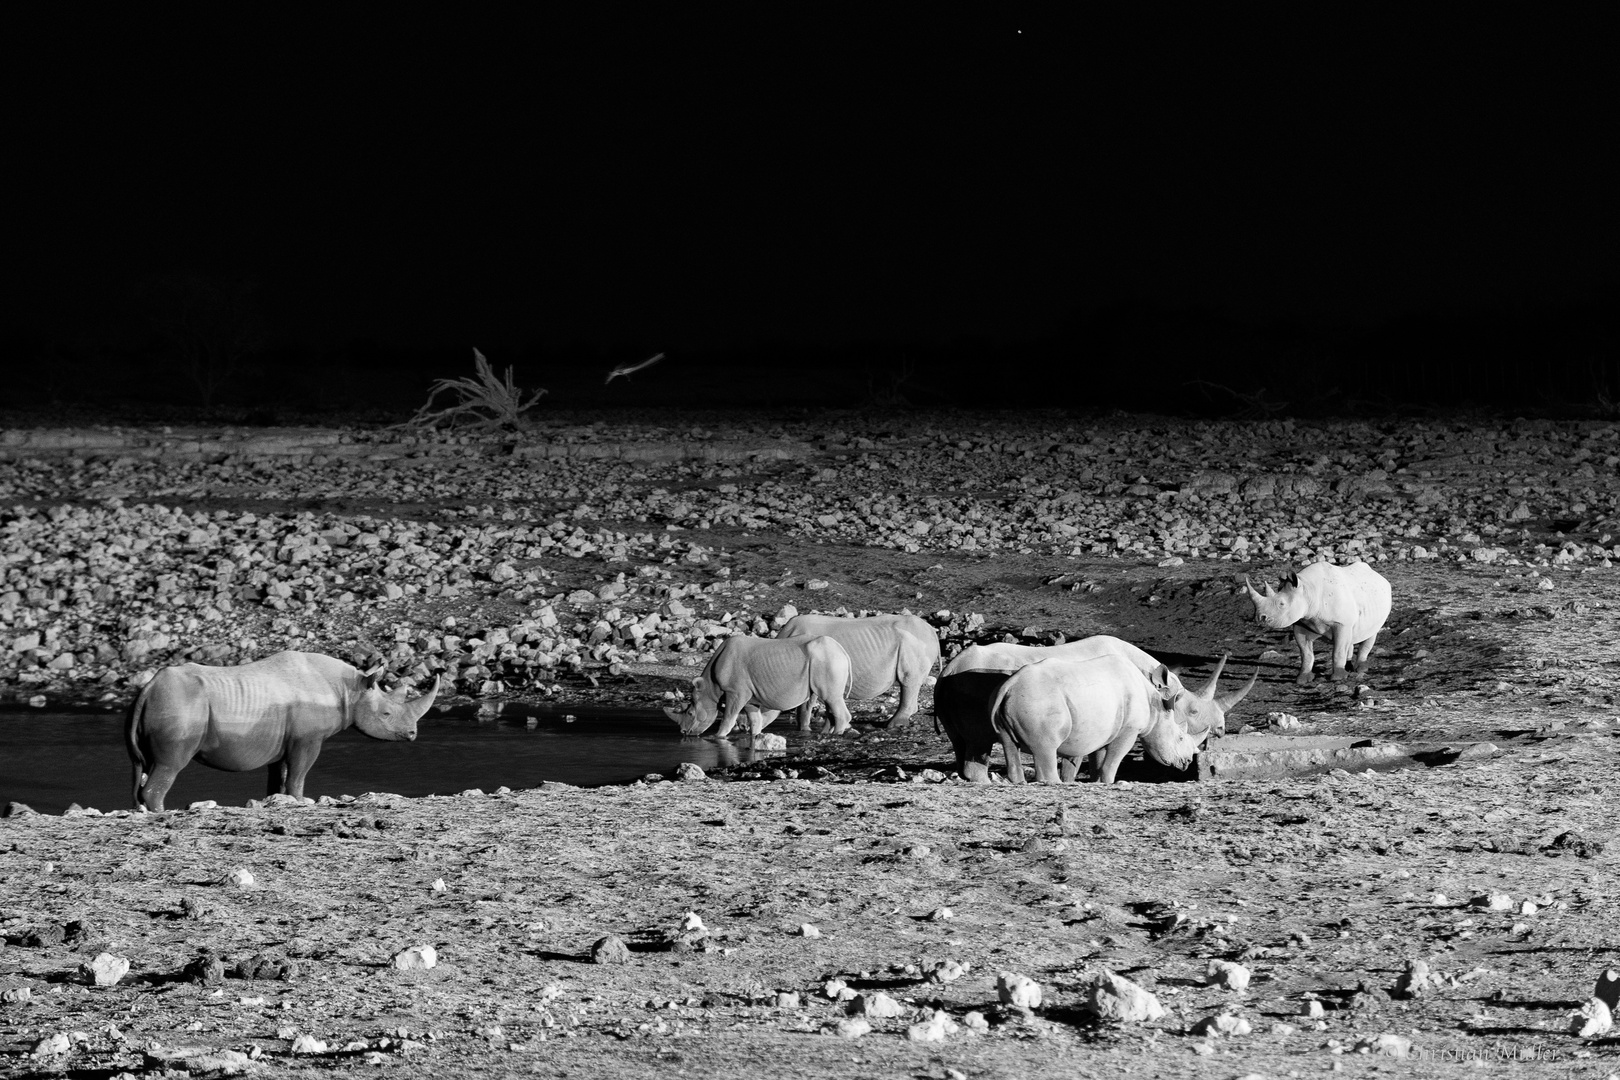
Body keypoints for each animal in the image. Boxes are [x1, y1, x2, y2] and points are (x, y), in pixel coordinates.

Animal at [123, 650, 437, 809]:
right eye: (386, 714)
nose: (412, 735)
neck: (350, 689)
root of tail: (149, 688)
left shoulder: (284, 740)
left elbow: (280, 778)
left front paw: (278, 801)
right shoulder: (308, 739)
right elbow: (298, 775)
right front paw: (299, 801)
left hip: (154, 706)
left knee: (142, 766)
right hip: (182, 705)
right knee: (170, 765)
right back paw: (162, 813)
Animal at [771, 612, 939, 731]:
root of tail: (932, 631)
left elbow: (806, 705)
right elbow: (807, 707)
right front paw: (806, 731)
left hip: (914, 643)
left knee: (908, 680)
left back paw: (892, 725)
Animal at [984, 650, 1205, 786]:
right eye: (1180, 738)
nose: (1186, 762)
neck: (1156, 708)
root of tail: (1009, 686)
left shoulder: (1106, 729)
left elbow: (1099, 760)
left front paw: (1097, 781)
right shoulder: (1129, 730)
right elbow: (1113, 760)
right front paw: (1108, 782)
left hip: (1005, 701)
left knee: (1009, 744)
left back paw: (1019, 782)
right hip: (1038, 700)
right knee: (1046, 746)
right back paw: (1055, 783)